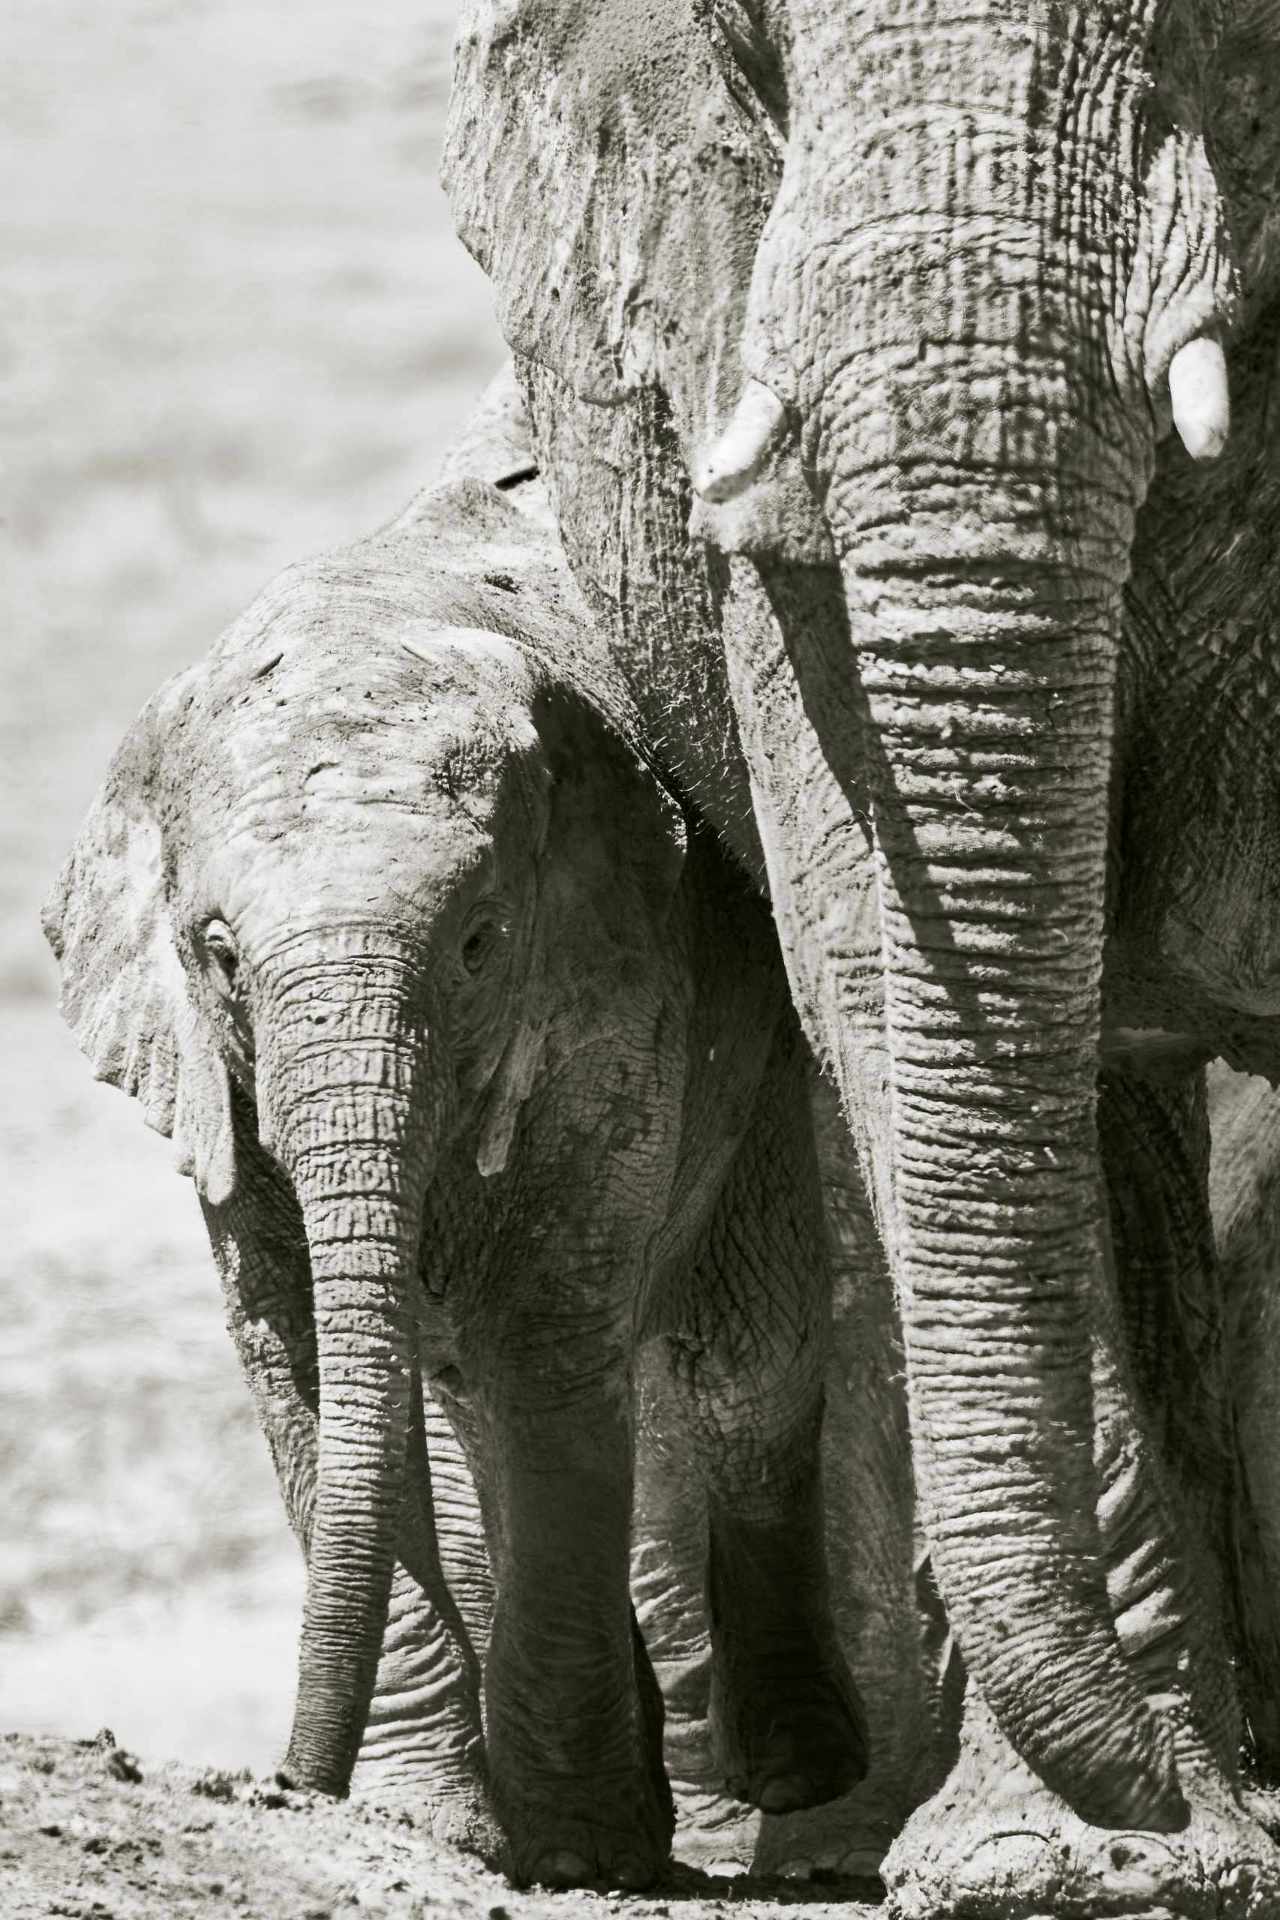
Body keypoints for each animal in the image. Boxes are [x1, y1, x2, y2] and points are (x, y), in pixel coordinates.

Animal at [50, 468, 871, 1889]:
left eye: (481, 945)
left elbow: (545, 1346)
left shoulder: (614, 996)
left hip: (761, 1053)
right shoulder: (218, 1087)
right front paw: (427, 1824)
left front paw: (580, 1852)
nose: (286, 1783)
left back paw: (797, 1772)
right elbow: (307, 1363)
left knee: (738, 1374)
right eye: (217, 954)